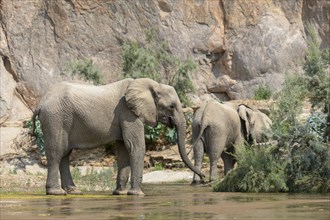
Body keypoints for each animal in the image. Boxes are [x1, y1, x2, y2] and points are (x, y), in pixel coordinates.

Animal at [32, 78, 204, 195]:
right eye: (171, 106)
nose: (204, 179)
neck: (151, 84)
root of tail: (41, 103)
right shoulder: (128, 113)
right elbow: (135, 146)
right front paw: (137, 194)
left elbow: (123, 149)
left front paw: (120, 193)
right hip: (55, 119)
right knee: (56, 152)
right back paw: (56, 193)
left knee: (65, 154)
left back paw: (73, 191)